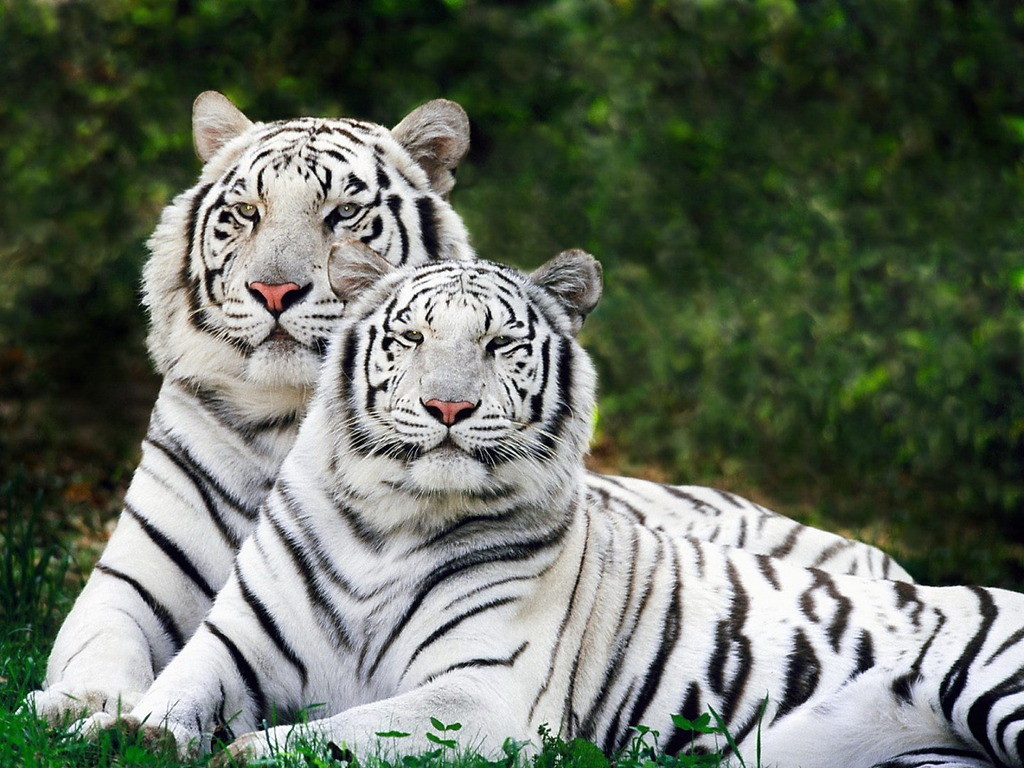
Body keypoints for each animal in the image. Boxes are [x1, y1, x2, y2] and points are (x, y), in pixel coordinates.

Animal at [29, 91, 913, 729]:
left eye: (342, 215)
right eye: (244, 213)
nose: (275, 291)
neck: (289, 419)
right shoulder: (131, 581)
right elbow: (99, 645)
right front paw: (77, 706)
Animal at [88, 246, 1024, 768]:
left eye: (499, 344)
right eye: (411, 338)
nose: (449, 407)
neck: (389, 522)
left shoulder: (484, 695)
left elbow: (349, 732)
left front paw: (247, 751)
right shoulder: (235, 646)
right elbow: (172, 692)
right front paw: (120, 730)